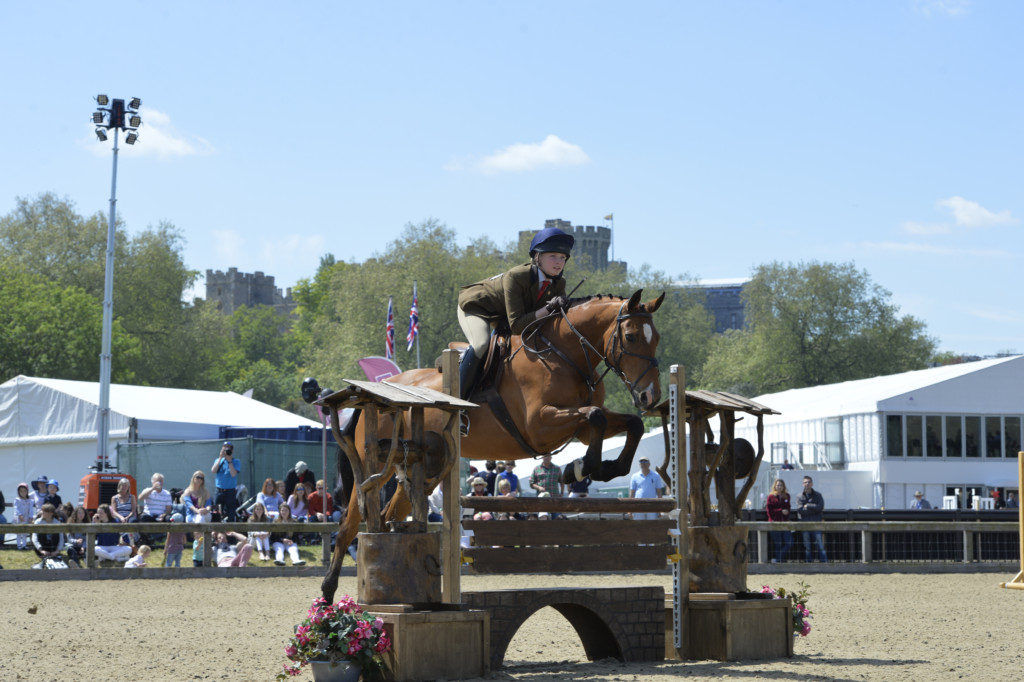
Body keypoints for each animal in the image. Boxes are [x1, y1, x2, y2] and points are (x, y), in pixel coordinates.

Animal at [323, 288, 667, 602]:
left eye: (657, 339)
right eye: (631, 337)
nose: (649, 397)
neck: (564, 354)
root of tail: (372, 391)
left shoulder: (579, 429)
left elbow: (628, 424)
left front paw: (601, 469)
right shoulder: (539, 425)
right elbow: (594, 416)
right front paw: (579, 469)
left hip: (421, 468)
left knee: (389, 515)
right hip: (376, 463)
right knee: (349, 524)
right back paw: (329, 597)